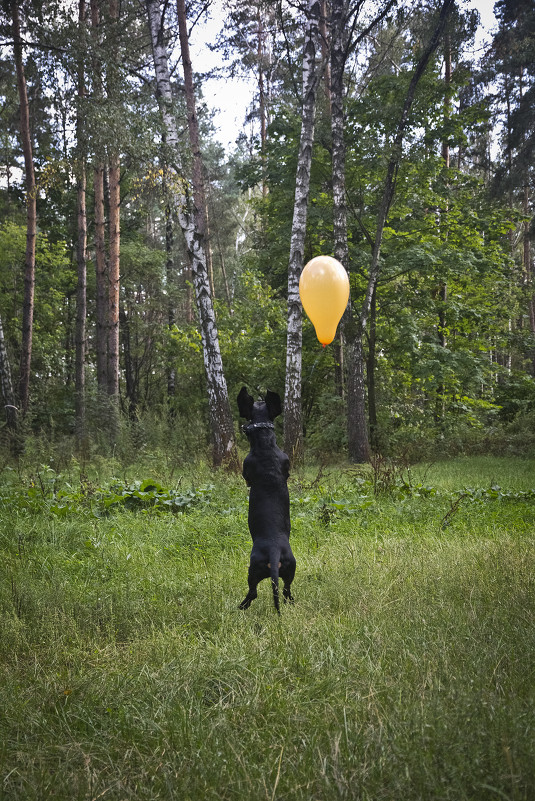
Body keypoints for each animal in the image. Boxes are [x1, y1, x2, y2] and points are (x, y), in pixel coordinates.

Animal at [239, 388, 298, 612]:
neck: (265, 444)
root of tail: (274, 551)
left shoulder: (247, 468)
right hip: (291, 569)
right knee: (286, 590)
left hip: (252, 571)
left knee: (252, 592)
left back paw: (241, 606)